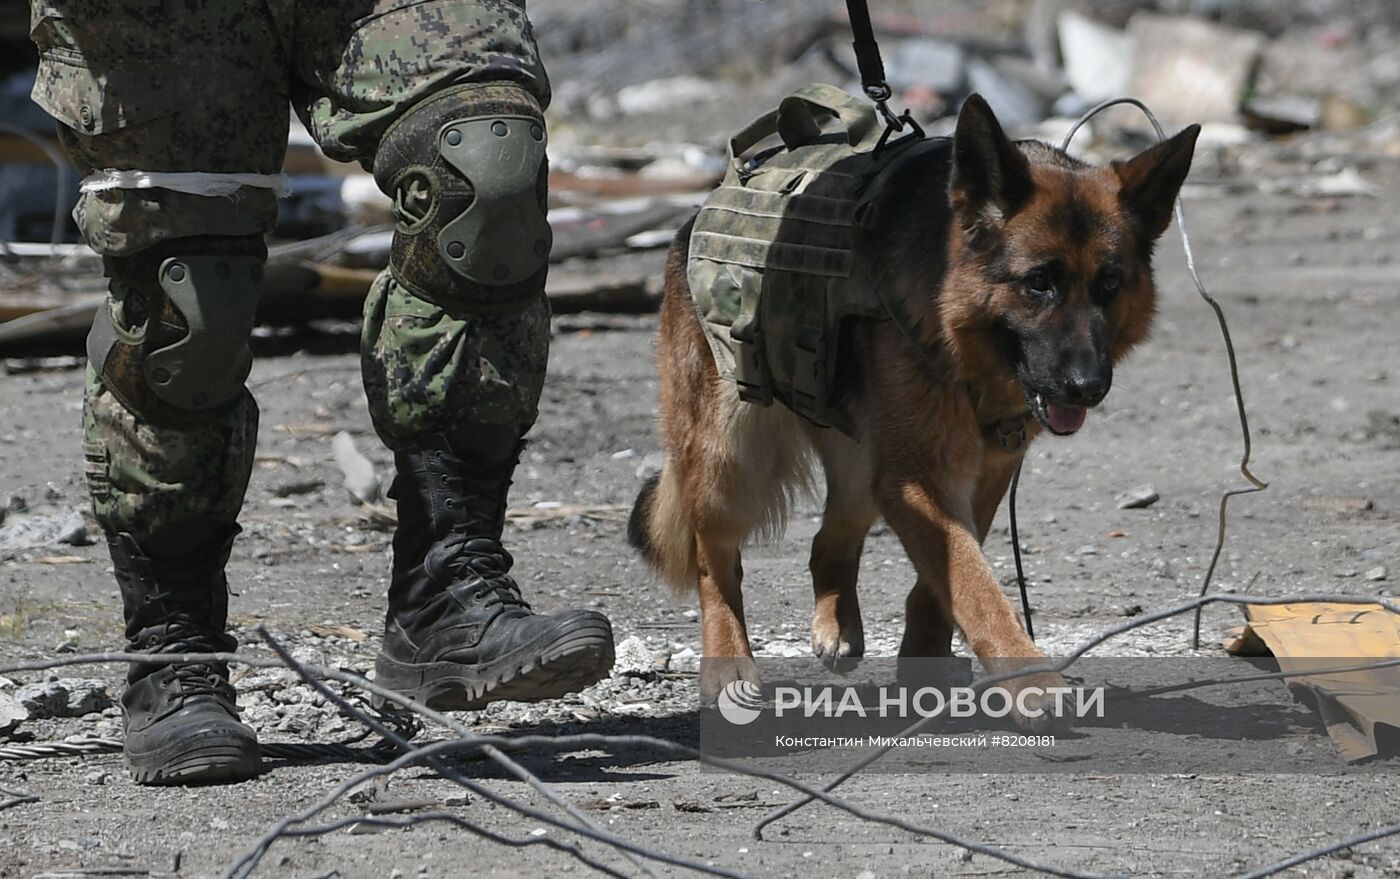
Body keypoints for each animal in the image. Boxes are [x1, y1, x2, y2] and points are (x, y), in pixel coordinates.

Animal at [630, 92, 1198, 733]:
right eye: (1039, 283)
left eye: (1110, 284)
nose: (1086, 388)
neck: (956, 327)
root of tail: (695, 214)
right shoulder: (918, 479)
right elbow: (973, 583)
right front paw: (1031, 681)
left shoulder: (978, 470)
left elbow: (948, 577)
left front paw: (925, 664)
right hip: (732, 458)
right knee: (714, 556)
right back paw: (727, 663)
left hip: (861, 464)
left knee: (829, 539)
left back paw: (836, 621)